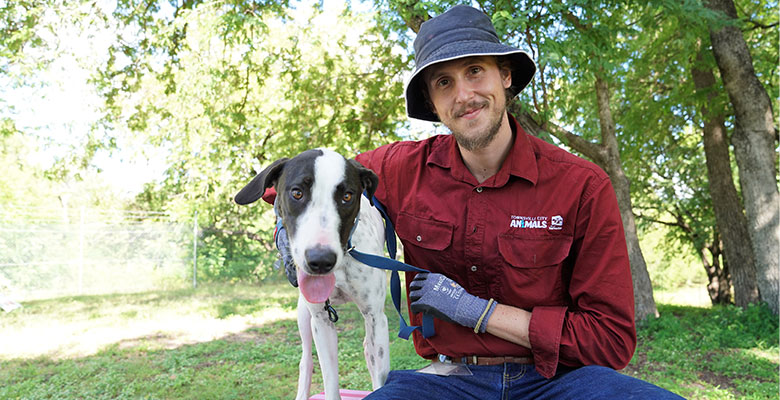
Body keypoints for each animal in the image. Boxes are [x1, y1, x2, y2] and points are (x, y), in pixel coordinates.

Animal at [233, 148, 388, 400]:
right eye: (297, 193)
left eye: (347, 196)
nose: (321, 261)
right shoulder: (321, 320)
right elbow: (330, 382)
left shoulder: (376, 317)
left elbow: (381, 378)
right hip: (303, 315)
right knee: (306, 361)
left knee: (368, 349)